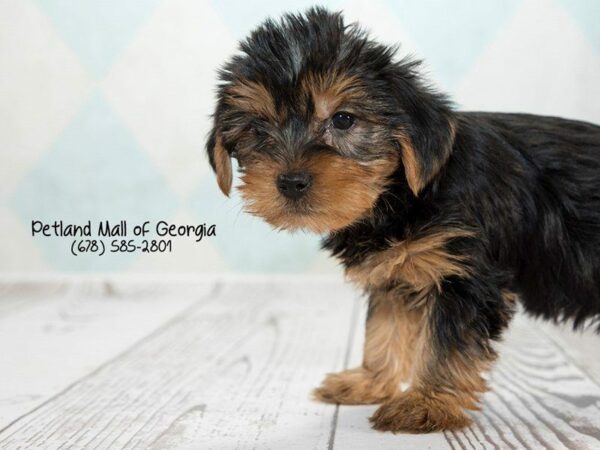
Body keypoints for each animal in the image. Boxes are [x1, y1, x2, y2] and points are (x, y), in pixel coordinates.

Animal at [205, 7, 600, 432]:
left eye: (343, 120)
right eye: (257, 128)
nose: (291, 181)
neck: (399, 195)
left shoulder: (464, 275)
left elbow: (447, 343)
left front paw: (428, 403)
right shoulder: (394, 272)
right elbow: (385, 327)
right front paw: (371, 380)